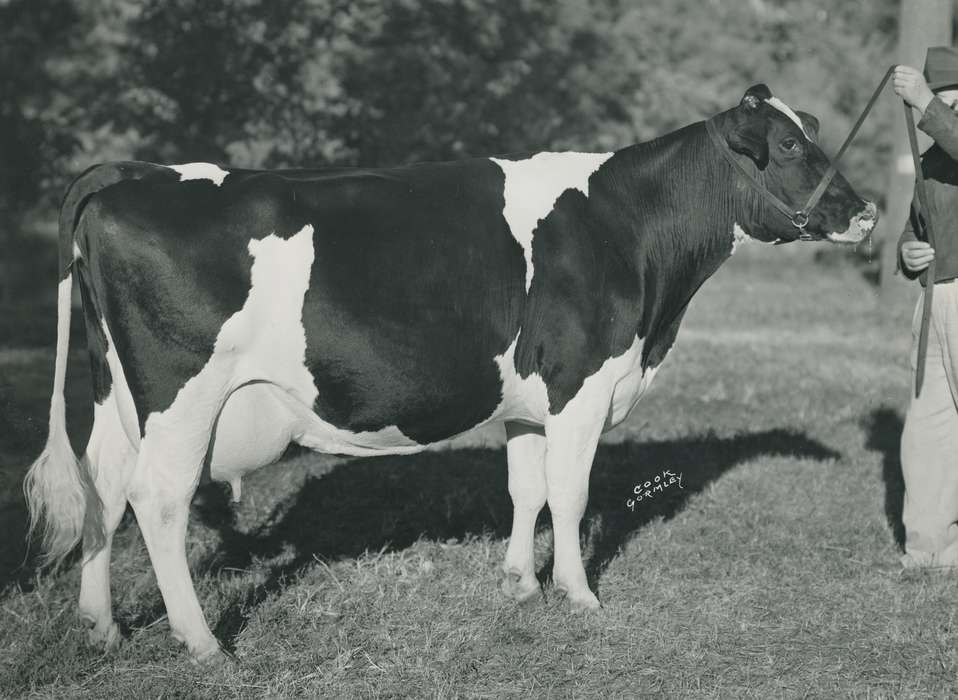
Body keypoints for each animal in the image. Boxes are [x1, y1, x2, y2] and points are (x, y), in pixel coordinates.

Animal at [25, 84, 876, 663]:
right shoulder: (581, 385)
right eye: (789, 147)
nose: (866, 211)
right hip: (182, 398)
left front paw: (520, 585)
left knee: (104, 486)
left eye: (812, 134)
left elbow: (527, 489)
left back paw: (100, 627)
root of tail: (135, 174)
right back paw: (203, 644)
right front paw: (579, 596)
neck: (631, 232)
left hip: (114, 391)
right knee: (157, 500)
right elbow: (570, 495)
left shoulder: (531, 400)